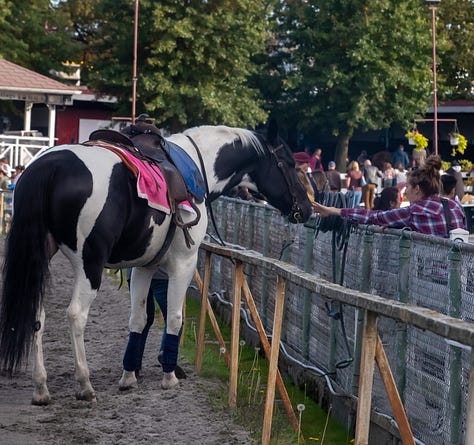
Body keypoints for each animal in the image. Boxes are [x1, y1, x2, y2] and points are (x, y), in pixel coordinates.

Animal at [0, 121, 312, 402]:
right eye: (288, 163)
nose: (307, 209)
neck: (198, 166)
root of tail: (49, 166)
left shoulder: (145, 266)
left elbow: (138, 319)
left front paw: (128, 377)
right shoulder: (184, 263)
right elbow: (174, 318)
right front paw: (169, 377)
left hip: (40, 259)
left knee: (37, 316)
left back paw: (41, 388)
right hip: (89, 264)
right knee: (76, 314)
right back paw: (84, 384)